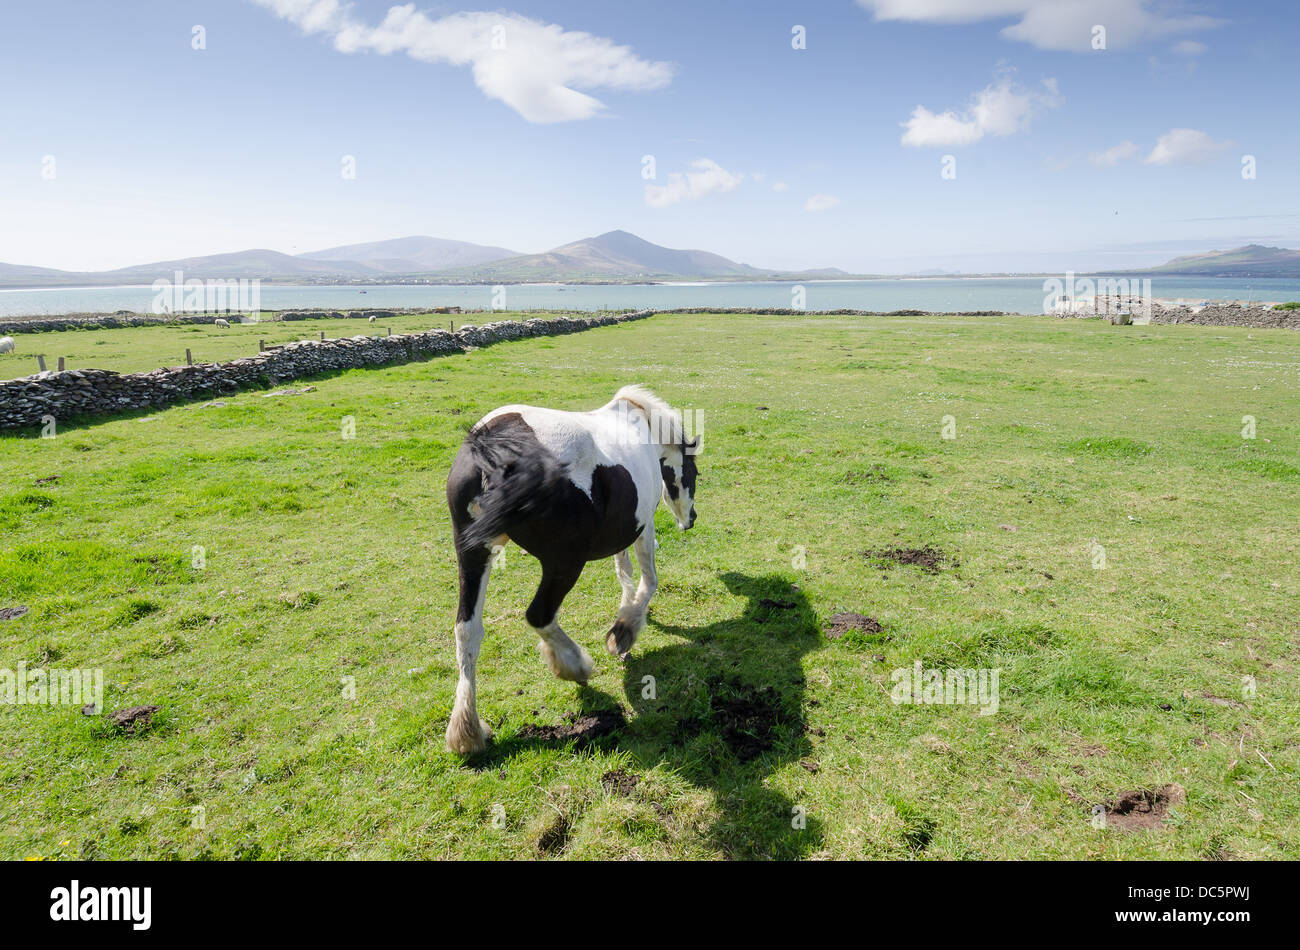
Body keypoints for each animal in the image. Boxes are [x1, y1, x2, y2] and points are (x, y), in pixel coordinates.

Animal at [444, 387, 702, 758]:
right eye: (693, 473)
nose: (690, 520)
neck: (643, 425)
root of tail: (495, 447)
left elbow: (623, 568)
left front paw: (626, 612)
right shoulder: (643, 526)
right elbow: (649, 578)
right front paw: (624, 631)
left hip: (473, 554)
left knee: (467, 630)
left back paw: (467, 731)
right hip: (563, 564)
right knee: (539, 615)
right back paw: (575, 665)